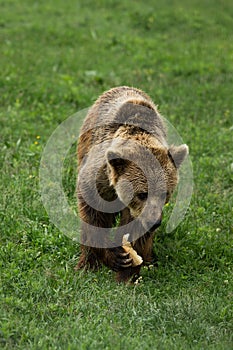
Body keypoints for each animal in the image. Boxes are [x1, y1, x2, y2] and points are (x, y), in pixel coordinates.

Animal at [75, 86, 188, 284]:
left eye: (166, 194)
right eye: (142, 193)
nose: (155, 222)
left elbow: (136, 230)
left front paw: (127, 273)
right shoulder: (99, 178)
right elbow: (93, 213)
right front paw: (113, 258)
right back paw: (86, 264)